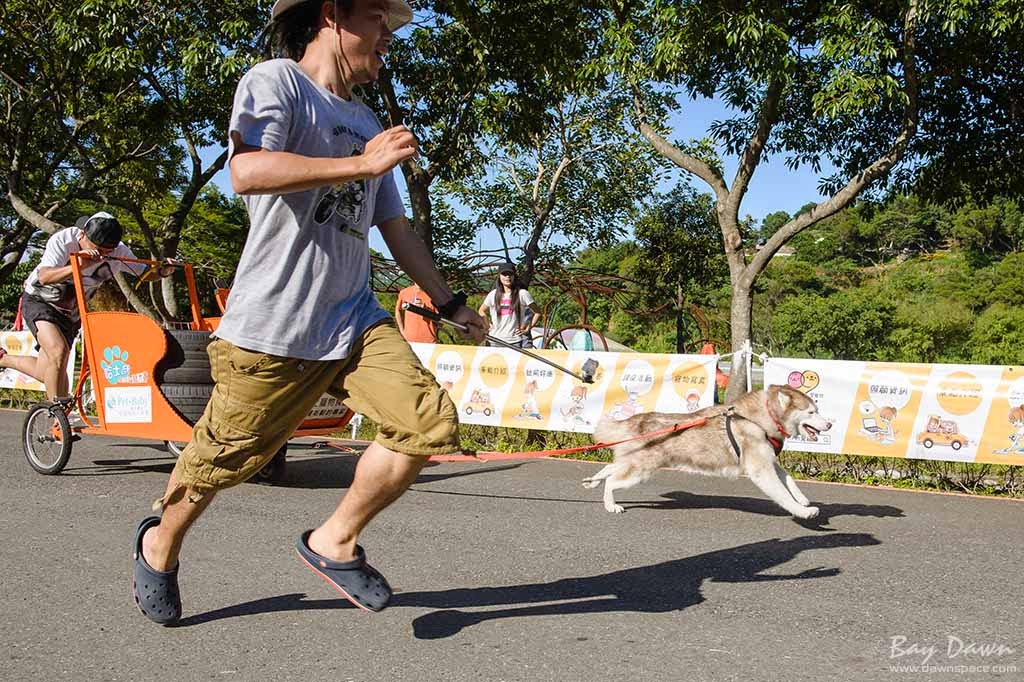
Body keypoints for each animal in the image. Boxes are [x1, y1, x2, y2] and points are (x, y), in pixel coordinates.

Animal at [585, 385, 831, 518]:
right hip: (640, 471)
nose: (829, 424)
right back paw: (610, 504)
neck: (761, 418)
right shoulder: (760, 468)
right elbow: (781, 494)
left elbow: (788, 479)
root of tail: (636, 419)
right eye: (811, 412)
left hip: (634, 463)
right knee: (613, 481)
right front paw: (803, 511)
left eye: (817, 410)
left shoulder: (768, 459)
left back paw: (592, 481)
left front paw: (802, 499)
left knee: (610, 468)